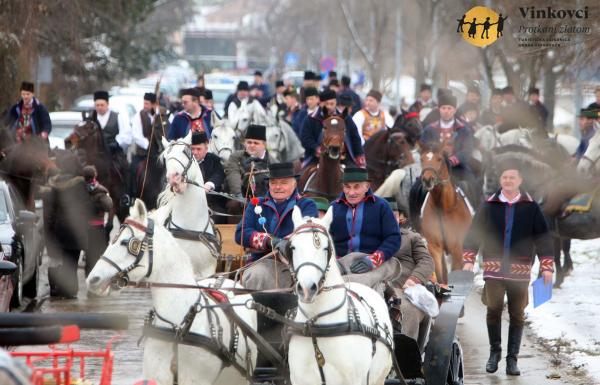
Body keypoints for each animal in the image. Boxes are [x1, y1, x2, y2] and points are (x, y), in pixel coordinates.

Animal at [288, 207, 394, 384]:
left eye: (325, 248)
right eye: (293, 247)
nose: (307, 288)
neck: (317, 326)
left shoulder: (354, 380)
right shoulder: (299, 379)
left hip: (379, 377)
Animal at [418, 143, 474, 282]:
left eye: (439, 159)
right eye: (421, 159)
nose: (427, 179)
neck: (442, 208)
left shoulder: (457, 248)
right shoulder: (434, 247)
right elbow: (440, 276)